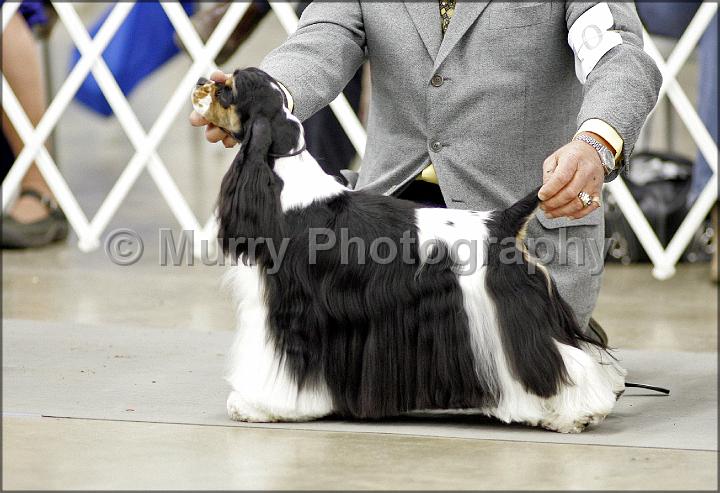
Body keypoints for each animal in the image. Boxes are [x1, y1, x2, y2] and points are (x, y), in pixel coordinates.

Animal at [192, 68, 626, 433]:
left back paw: (577, 413)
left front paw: (257, 406)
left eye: (228, 89)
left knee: (559, 359)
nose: (201, 81)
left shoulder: (289, 311)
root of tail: (501, 222)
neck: (286, 184)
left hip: (508, 311)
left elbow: (278, 367)